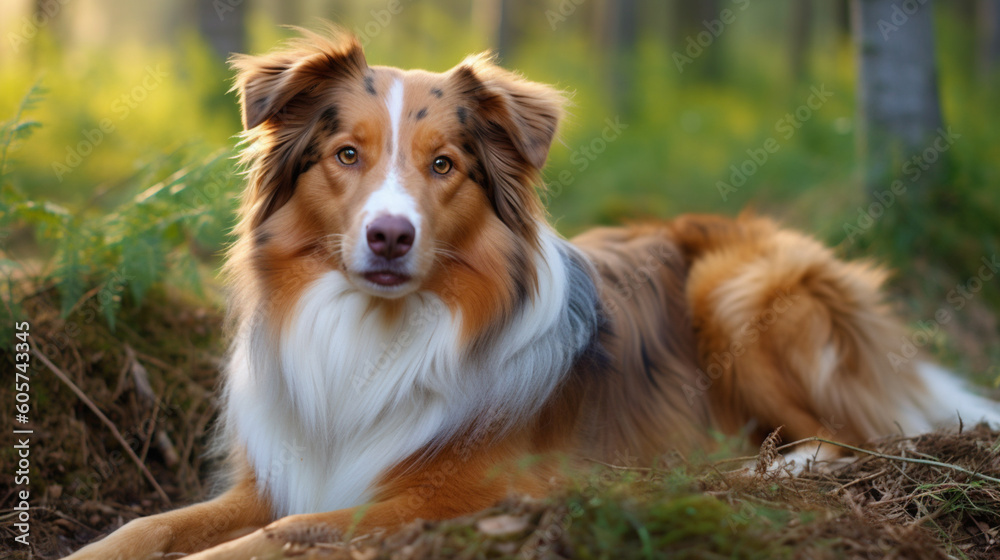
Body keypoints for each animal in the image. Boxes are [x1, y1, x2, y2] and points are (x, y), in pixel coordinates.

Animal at [64, 29, 1000, 560]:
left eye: (444, 164)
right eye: (347, 155)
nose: (390, 235)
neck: (375, 333)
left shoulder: (443, 496)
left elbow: (281, 536)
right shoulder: (282, 475)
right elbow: (151, 527)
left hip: (741, 292)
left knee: (849, 435)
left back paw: (756, 465)